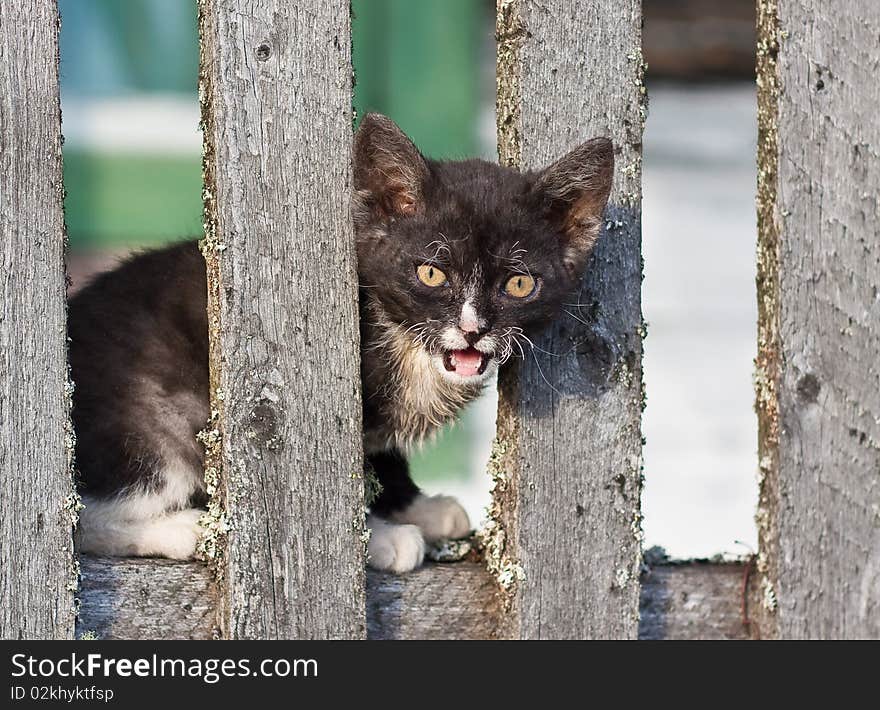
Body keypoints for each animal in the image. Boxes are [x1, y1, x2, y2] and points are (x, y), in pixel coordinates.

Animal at [70, 114, 612, 576]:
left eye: (519, 284)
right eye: (431, 273)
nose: (473, 328)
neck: (406, 344)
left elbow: (379, 453)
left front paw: (416, 506)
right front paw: (384, 538)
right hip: (156, 417)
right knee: (86, 513)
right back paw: (185, 528)